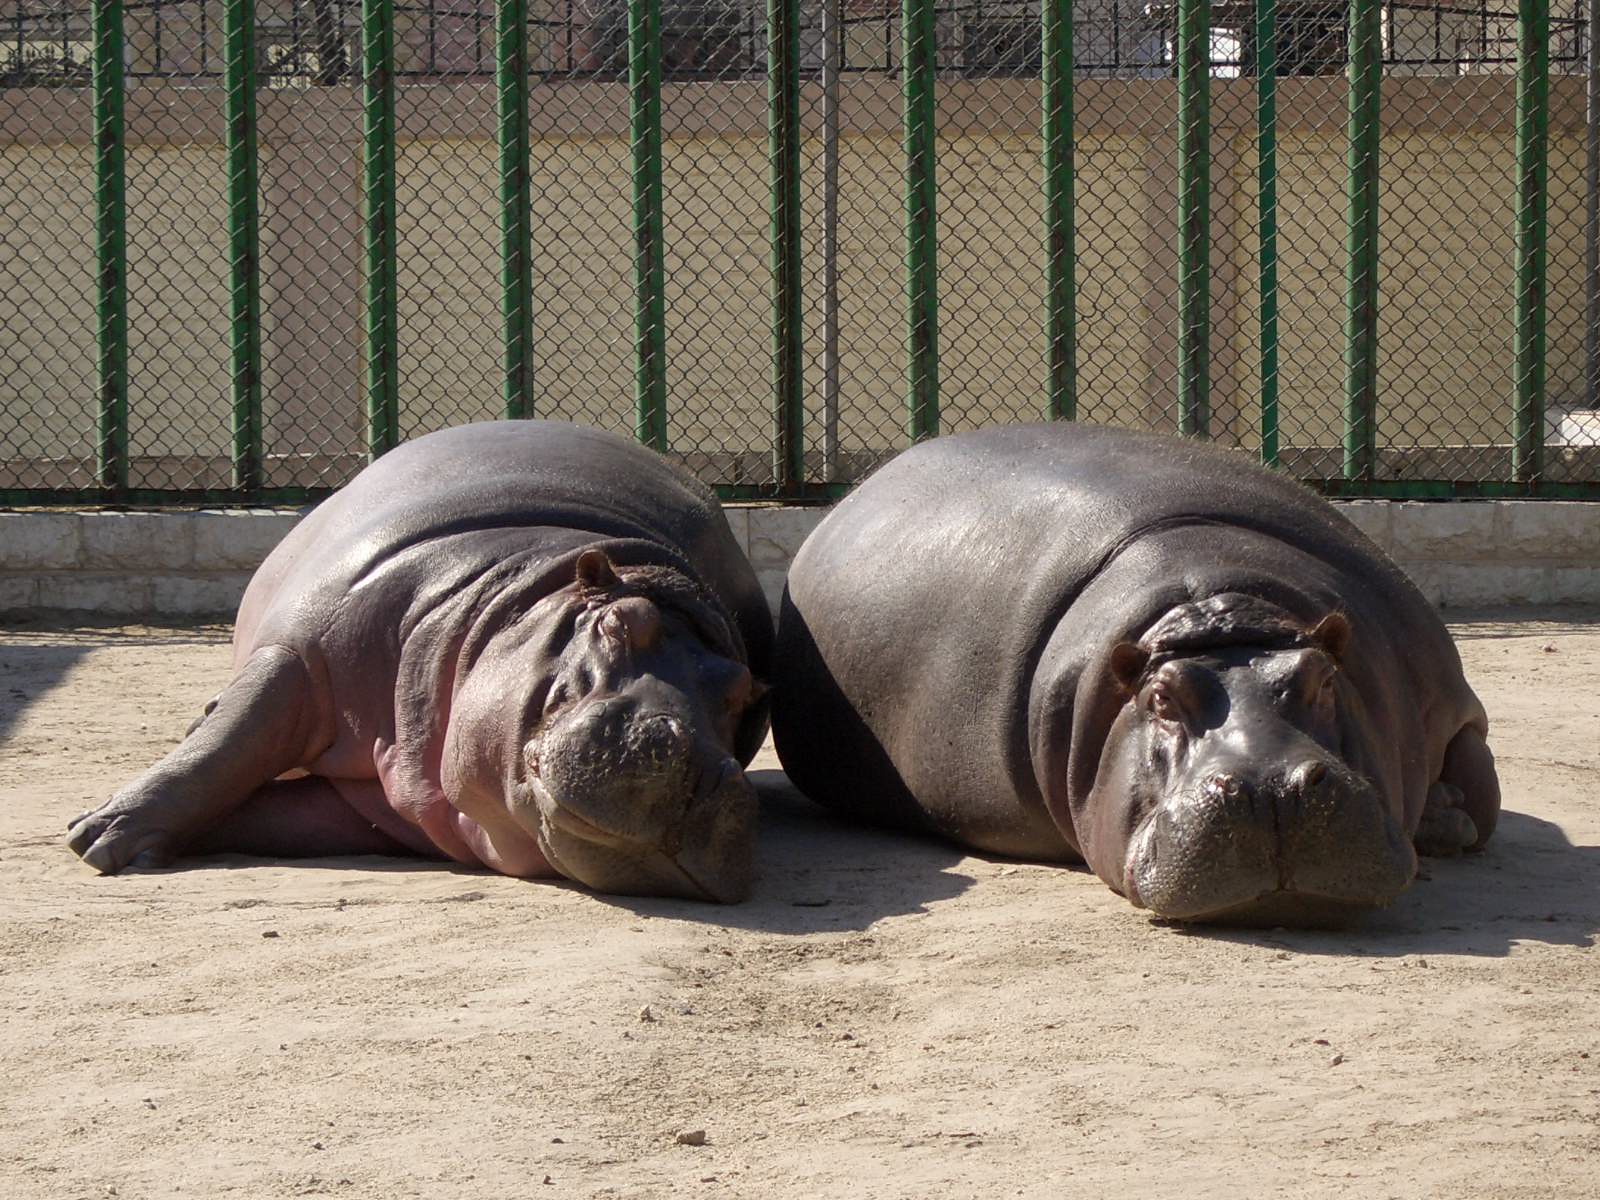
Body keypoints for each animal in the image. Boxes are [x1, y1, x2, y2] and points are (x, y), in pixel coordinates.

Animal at [68, 420, 773, 902]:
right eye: (619, 622)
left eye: (744, 697)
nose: (702, 774)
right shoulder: (300, 654)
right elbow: (228, 748)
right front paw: (96, 836)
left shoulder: (357, 811)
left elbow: (249, 803)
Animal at [773, 423, 1499, 923]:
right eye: (1161, 698)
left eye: (1321, 679)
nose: (1270, 789)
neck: (1219, 604)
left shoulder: (1457, 708)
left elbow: (1483, 792)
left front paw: (1451, 817)